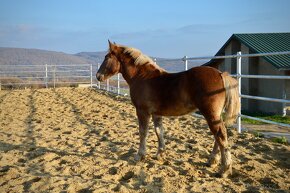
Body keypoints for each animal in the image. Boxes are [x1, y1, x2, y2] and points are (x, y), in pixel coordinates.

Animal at [96, 41, 239, 178]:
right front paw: (160, 154)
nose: (98, 76)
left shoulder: (142, 111)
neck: (141, 76)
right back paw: (212, 161)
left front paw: (140, 155)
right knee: (218, 136)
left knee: (220, 135)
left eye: (107, 57)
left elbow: (143, 132)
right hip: (215, 115)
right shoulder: (156, 113)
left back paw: (224, 170)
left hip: (210, 115)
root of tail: (220, 74)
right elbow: (159, 131)